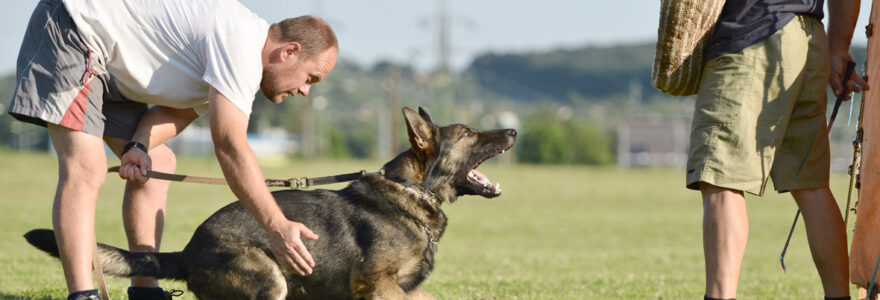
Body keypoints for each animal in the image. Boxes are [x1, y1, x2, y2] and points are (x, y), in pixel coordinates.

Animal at [25, 106, 516, 298]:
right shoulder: (378, 285)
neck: (410, 193)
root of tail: (189, 249)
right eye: (468, 133)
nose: (512, 131)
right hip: (270, 280)